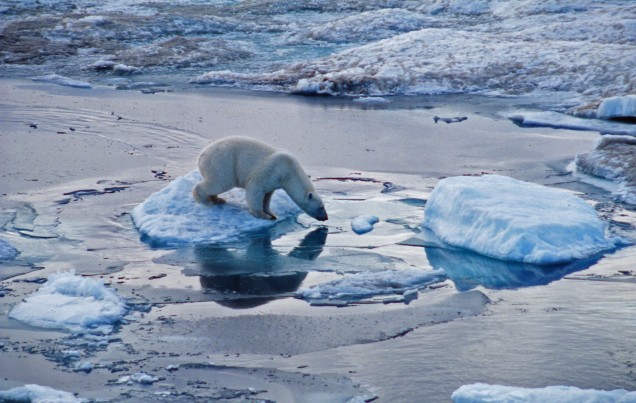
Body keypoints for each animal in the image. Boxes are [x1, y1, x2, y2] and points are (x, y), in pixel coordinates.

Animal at [191, 138, 328, 221]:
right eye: (321, 207)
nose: (326, 217)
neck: (289, 170)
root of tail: (201, 155)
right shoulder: (271, 170)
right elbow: (255, 190)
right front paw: (263, 215)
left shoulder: (274, 181)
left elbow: (267, 196)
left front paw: (272, 214)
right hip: (222, 163)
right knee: (218, 182)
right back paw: (205, 201)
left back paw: (218, 199)